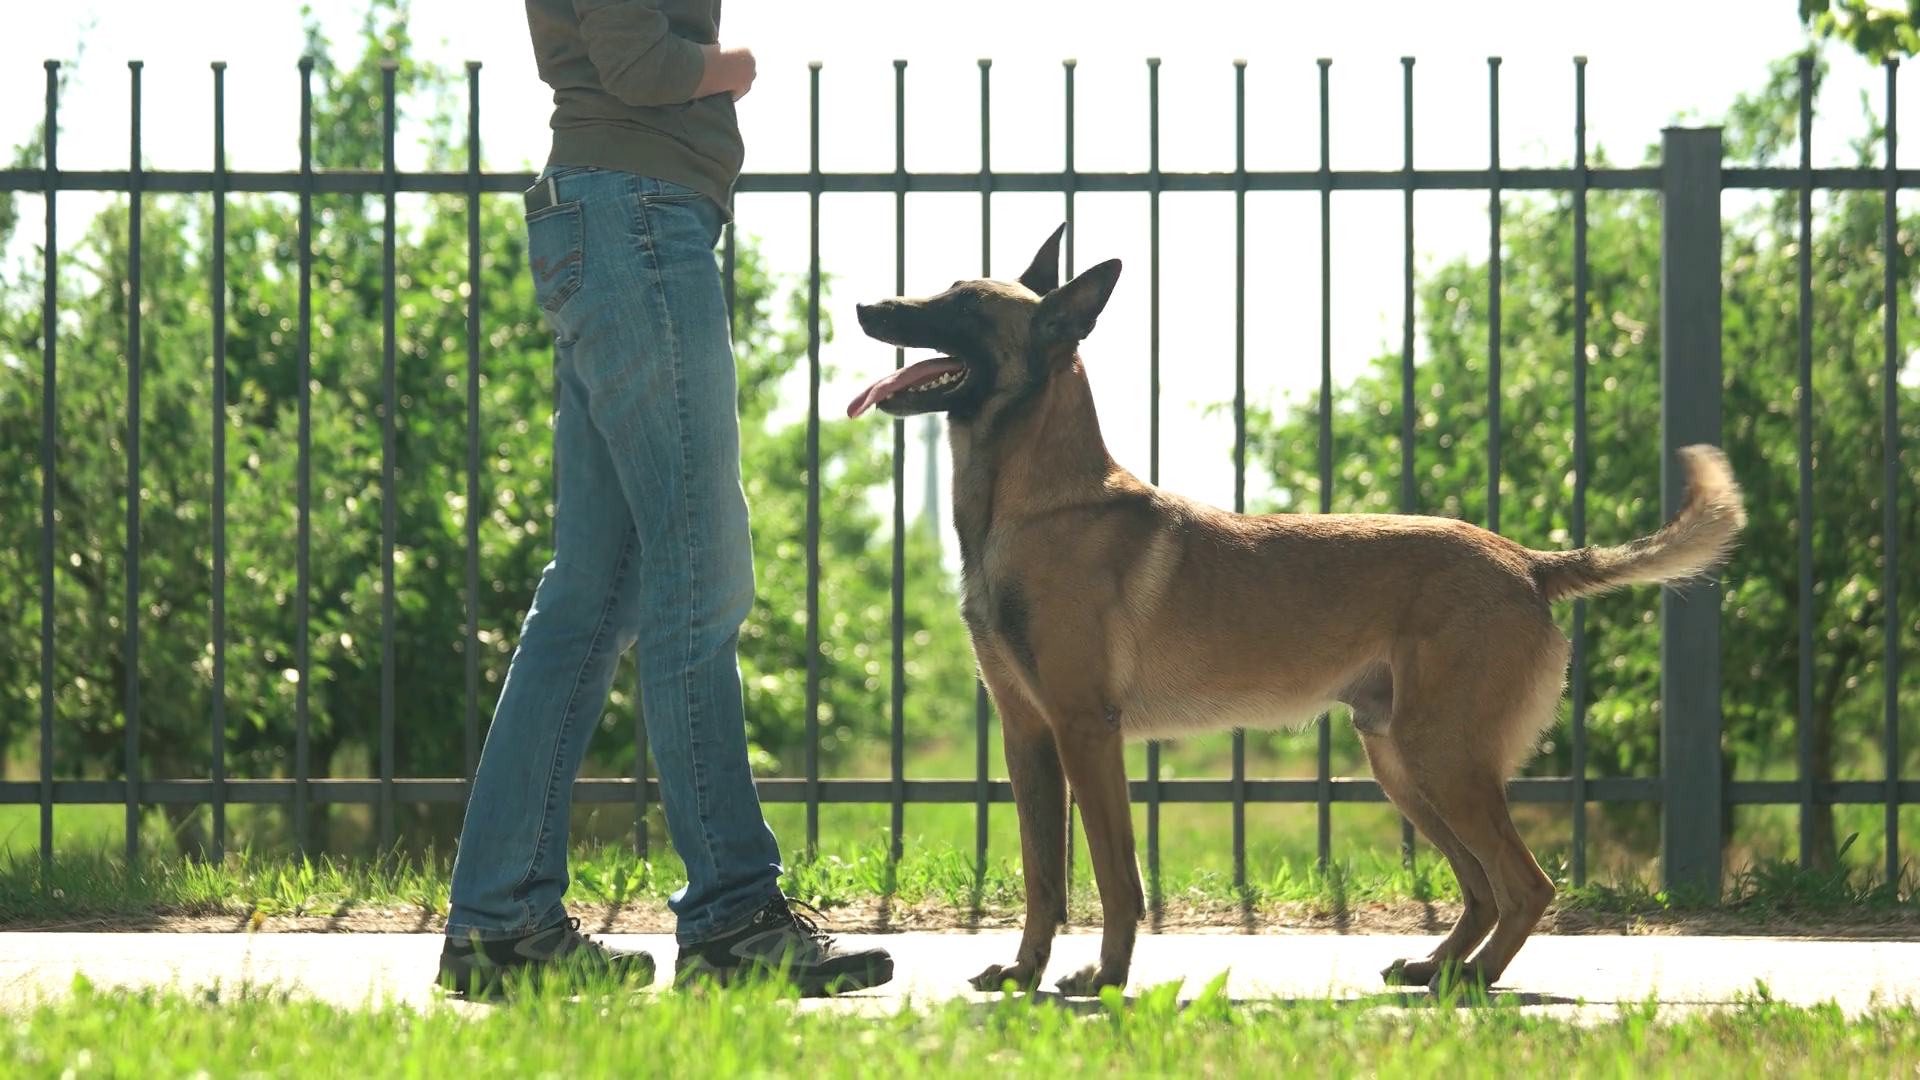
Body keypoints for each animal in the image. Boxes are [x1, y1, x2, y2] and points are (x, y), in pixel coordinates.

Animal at [848, 224, 1746, 996]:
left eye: (965, 305)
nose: (866, 308)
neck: (1038, 503)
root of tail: (1528, 563)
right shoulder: (1028, 737)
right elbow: (1043, 876)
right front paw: (1024, 972)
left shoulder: (1086, 734)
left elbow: (1113, 875)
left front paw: (1103, 977)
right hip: (1404, 762)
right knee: (1485, 886)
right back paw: (1439, 965)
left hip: (1443, 758)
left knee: (1526, 884)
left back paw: (1470, 981)